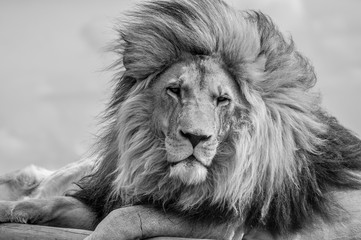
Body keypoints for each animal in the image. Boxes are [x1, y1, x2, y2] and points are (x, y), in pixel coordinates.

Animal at [0, 0, 360, 239]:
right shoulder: (110, 197)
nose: (195, 137)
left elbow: (125, 217)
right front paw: (10, 209)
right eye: (175, 90)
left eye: (222, 100)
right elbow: (58, 201)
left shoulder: (223, 224)